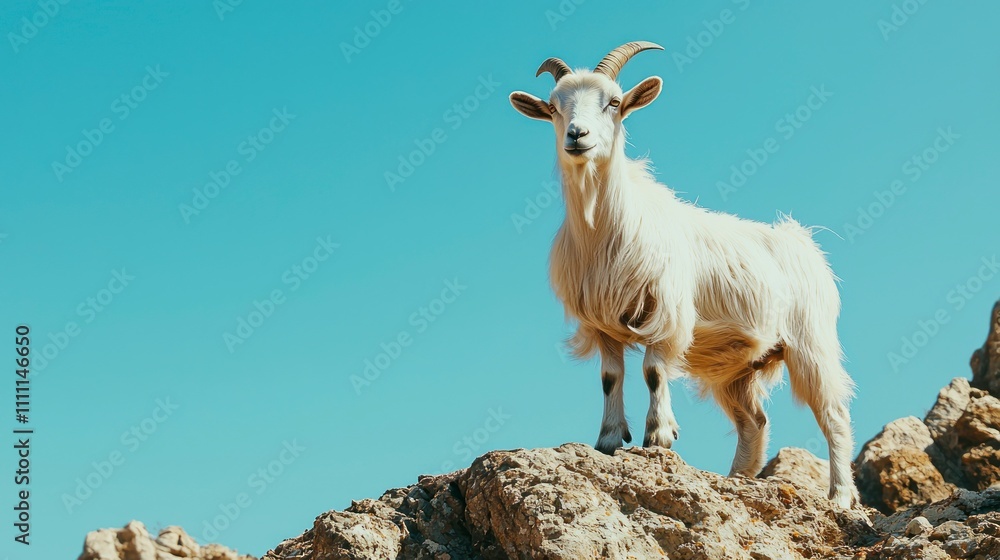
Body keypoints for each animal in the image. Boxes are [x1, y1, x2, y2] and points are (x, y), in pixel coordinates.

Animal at [509, 42, 859, 507]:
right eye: (553, 107)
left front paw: (659, 435)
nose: (577, 136)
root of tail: (803, 242)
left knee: (833, 414)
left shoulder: (665, 312)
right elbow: (610, 378)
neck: (606, 228)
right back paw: (737, 479)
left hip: (811, 342)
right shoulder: (601, 324)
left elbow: (653, 372)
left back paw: (839, 496)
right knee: (754, 421)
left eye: (614, 103)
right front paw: (608, 438)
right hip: (737, 366)